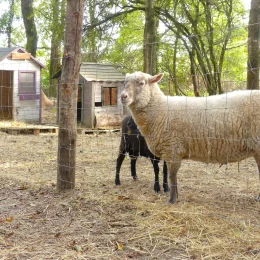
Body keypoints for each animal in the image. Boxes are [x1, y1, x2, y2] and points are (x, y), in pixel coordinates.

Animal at [121, 71, 260, 203]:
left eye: (141, 83)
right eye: (124, 82)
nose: (123, 96)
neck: (161, 109)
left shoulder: (173, 149)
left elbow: (172, 176)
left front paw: (172, 200)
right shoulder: (171, 151)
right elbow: (172, 176)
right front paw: (175, 197)